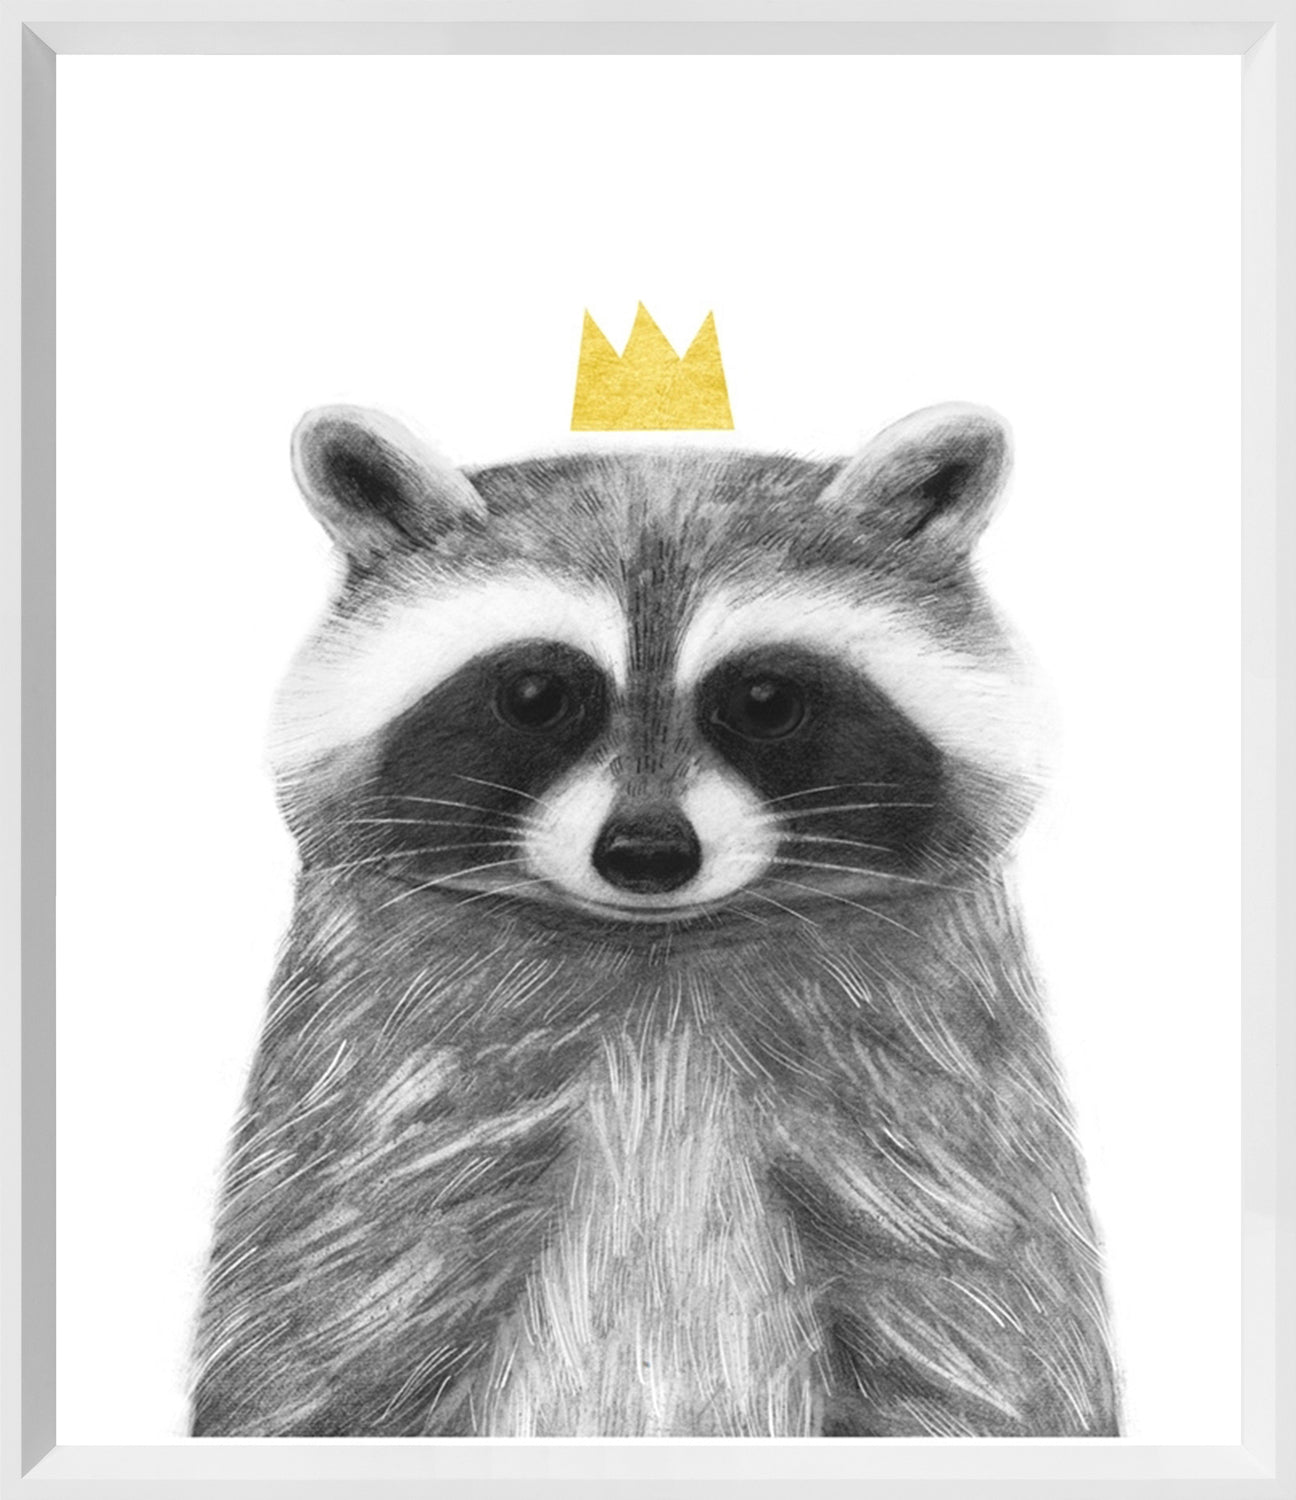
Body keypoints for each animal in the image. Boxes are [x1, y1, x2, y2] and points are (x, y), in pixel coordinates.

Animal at [190, 402, 1120, 1438]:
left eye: (765, 700)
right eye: (535, 696)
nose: (646, 852)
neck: (658, 950)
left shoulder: (927, 1086)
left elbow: (977, 1329)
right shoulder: (386, 1082)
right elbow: (327, 1330)